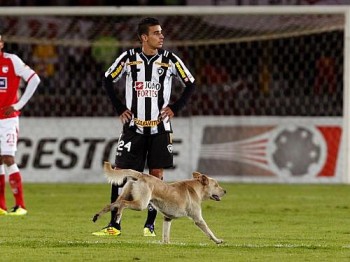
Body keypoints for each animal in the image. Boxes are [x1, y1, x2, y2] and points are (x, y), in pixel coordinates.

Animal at [91, 161, 226, 245]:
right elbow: (209, 232)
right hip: (141, 204)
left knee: (111, 205)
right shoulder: (198, 219)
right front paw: (218, 240)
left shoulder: (167, 218)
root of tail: (142, 174)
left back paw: (97, 216)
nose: (225, 191)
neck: (196, 189)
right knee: (123, 204)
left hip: (126, 196)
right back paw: (118, 216)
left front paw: (166, 244)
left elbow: (166, 235)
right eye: (216, 185)